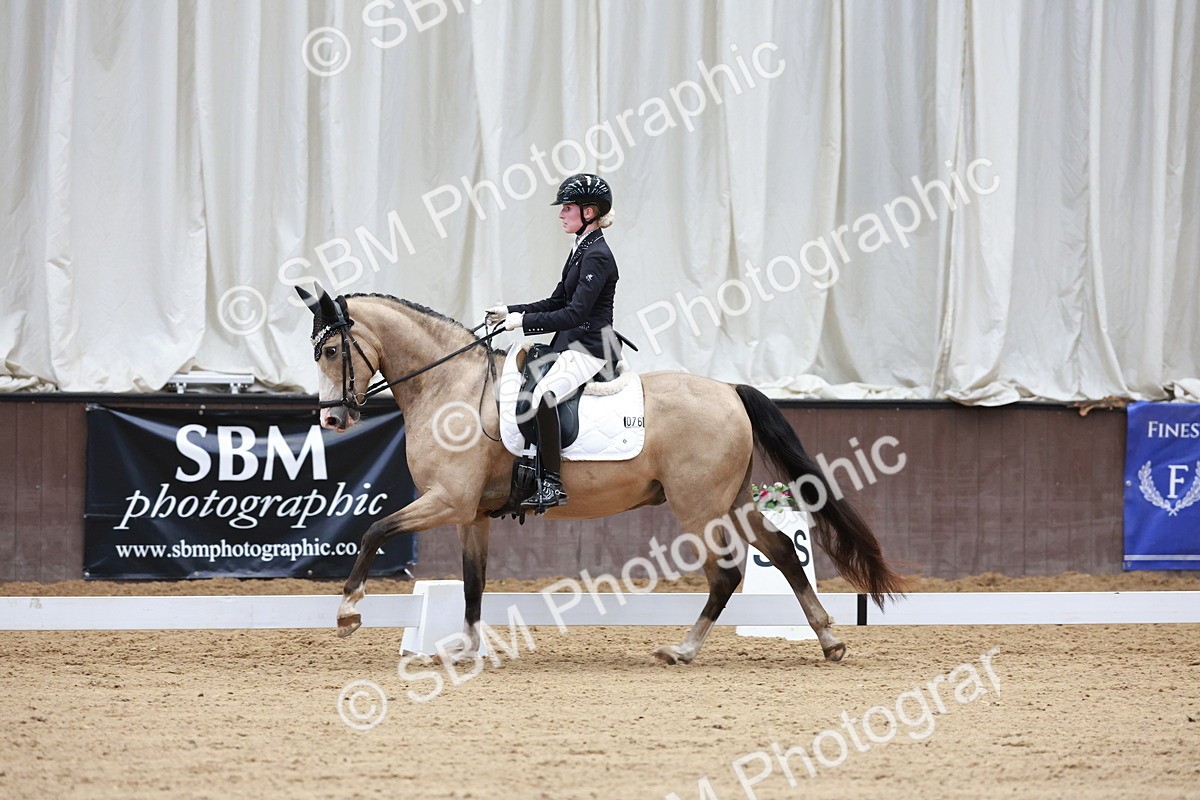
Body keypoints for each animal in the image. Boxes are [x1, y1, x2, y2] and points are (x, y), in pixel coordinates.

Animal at [298, 285, 905, 664]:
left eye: (329, 350)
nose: (332, 420)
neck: (452, 389)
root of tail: (730, 390)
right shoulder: (472, 514)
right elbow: (472, 584)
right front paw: (466, 649)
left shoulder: (447, 501)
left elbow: (374, 530)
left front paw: (348, 611)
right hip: (730, 501)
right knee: (780, 550)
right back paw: (828, 640)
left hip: (699, 508)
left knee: (727, 573)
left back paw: (683, 650)